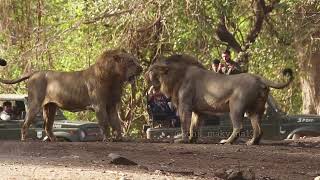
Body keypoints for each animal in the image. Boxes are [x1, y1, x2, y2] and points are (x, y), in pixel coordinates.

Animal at [0, 48, 142, 141]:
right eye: (131, 61)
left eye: (136, 60)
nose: (141, 68)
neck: (115, 80)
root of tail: (34, 72)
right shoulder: (99, 105)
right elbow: (105, 123)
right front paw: (108, 139)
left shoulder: (112, 105)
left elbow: (116, 123)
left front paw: (119, 138)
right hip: (35, 103)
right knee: (25, 123)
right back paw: (25, 139)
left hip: (50, 107)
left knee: (47, 126)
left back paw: (55, 140)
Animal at [146, 54, 294, 145]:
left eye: (153, 70)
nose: (146, 75)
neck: (176, 76)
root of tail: (259, 78)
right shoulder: (198, 111)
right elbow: (194, 126)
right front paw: (192, 139)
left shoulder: (185, 105)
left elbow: (184, 123)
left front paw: (183, 140)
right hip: (254, 110)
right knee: (259, 130)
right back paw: (252, 143)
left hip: (235, 106)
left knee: (239, 127)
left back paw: (227, 142)